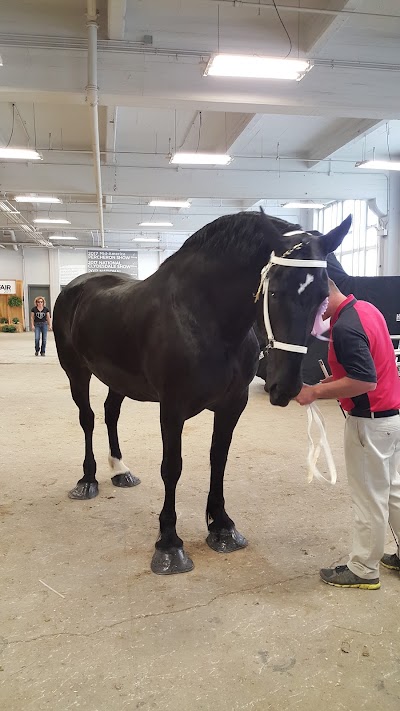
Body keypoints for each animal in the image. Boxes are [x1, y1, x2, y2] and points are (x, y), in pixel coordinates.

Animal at [54, 211, 350, 572]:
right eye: (275, 291)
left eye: (323, 295)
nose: (286, 387)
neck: (204, 316)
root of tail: (75, 287)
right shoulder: (172, 408)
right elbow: (172, 467)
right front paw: (169, 544)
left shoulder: (232, 405)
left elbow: (218, 459)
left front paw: (222, 527)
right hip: (76, 372)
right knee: (88, 418)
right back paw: (88, 480)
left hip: (117, 378)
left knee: (111, 414)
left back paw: (121, 471)